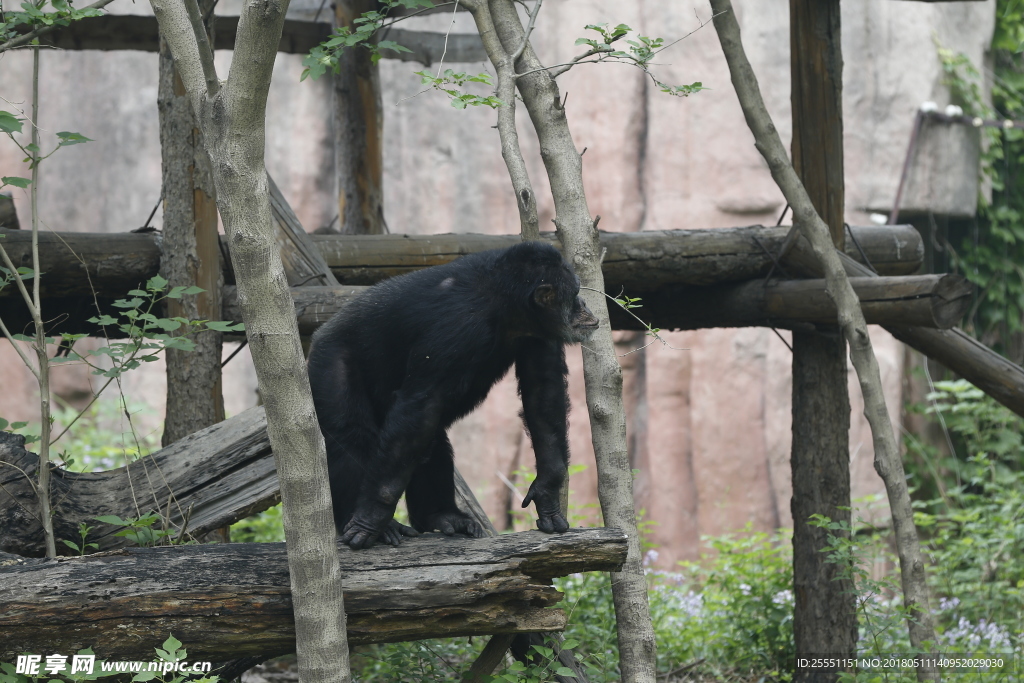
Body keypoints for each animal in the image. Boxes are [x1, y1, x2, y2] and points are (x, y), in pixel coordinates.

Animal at [309, 241, 598, 548]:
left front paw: (547, 492)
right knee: (350, 435)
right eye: (576, 293)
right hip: (329, 358)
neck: (503, 304)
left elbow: (543, 391)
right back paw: (372, 522)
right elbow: (421, 406)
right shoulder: (455, 330)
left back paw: (440, 515)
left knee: (429, 439)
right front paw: (371, 518)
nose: (584, 304)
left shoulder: (538, 331)